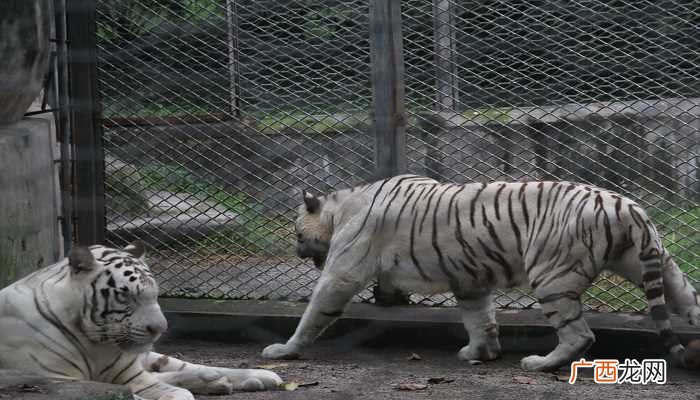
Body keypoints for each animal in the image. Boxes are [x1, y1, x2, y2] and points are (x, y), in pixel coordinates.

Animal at [0, 242, 282, 400]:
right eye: (125, 295)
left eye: (155, 294)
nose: (160, 329)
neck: (95, 343)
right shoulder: (57, 381)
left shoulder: (126, 371)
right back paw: (216, 382)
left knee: (181, 367)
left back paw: (250, 376)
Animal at [262, 174, 700, 372]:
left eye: (297, 232)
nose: (296, 249)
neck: (341, 208)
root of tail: (629, 206)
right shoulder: (470, 279)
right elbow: (479, 319)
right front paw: (479, 353)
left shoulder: (343, 271)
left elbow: (315, 312)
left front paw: (284, 349)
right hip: (654, 264)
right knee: (688, 298)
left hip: (551, 277)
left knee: (580, 334)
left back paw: (541, 363)